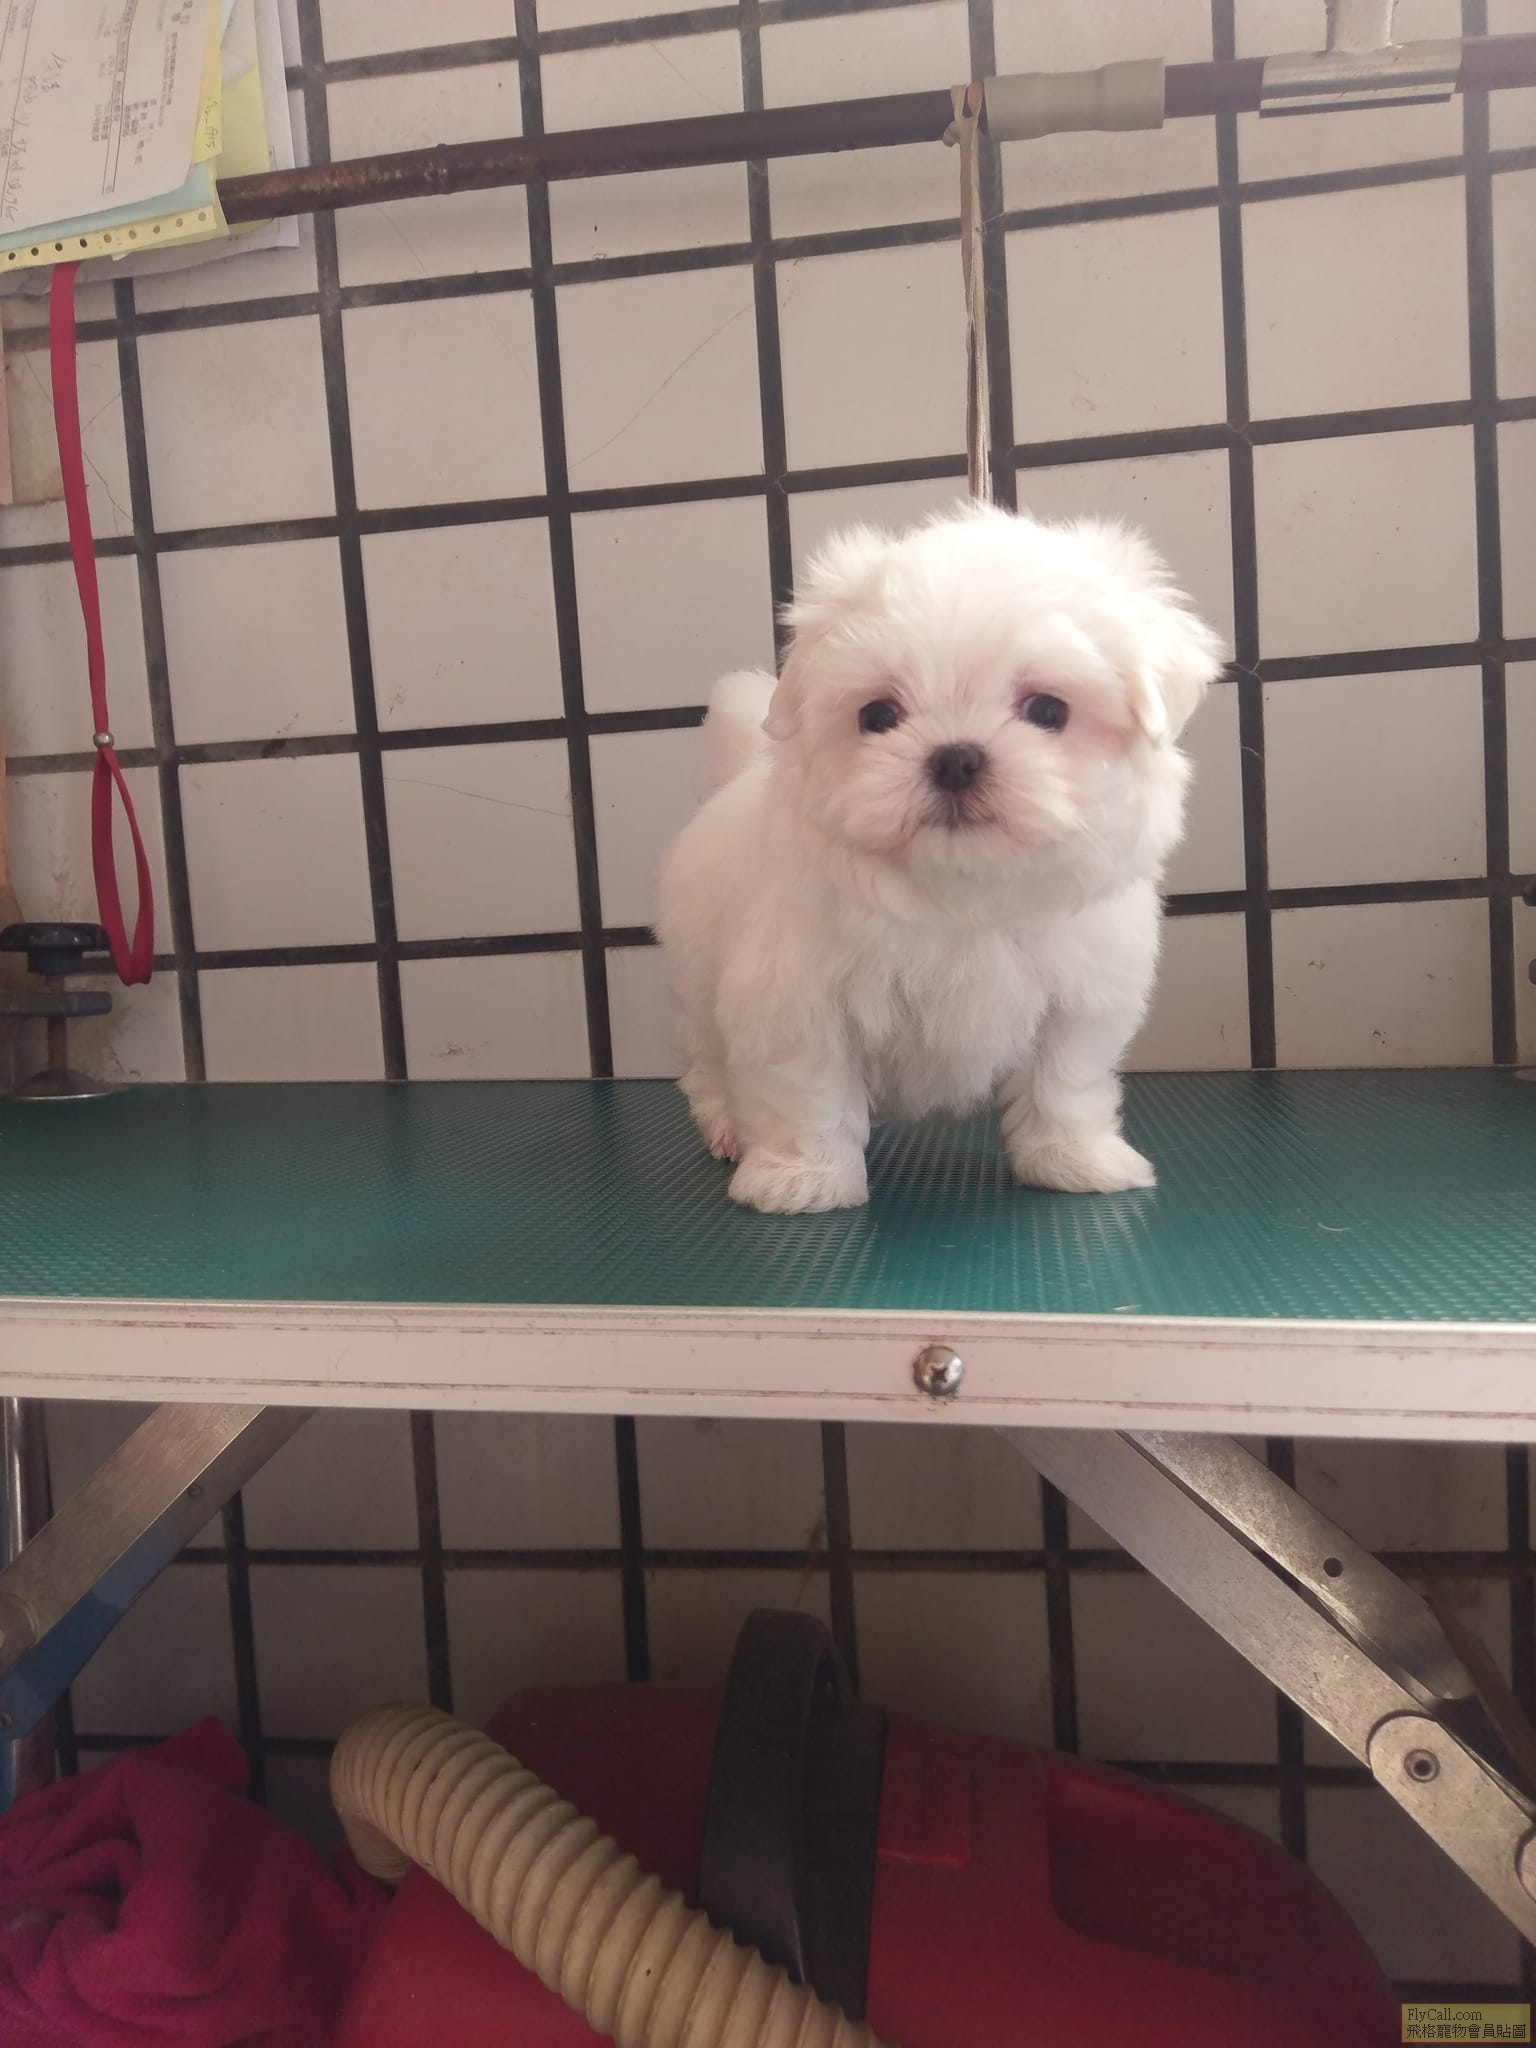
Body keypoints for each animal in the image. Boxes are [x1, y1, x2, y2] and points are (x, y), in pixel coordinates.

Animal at [655, 502, 1223, 1214]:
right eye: (878, 715)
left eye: (1048, 709)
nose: (955, 758)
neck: (960, 890)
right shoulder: (796, 1001)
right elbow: (808, 1091)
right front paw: (803, 1178)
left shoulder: (1080, 998)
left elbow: (1065, 1082)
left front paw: (1074, 1160)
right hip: (696, 982)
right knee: (706, 1064)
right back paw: (729, 1128)